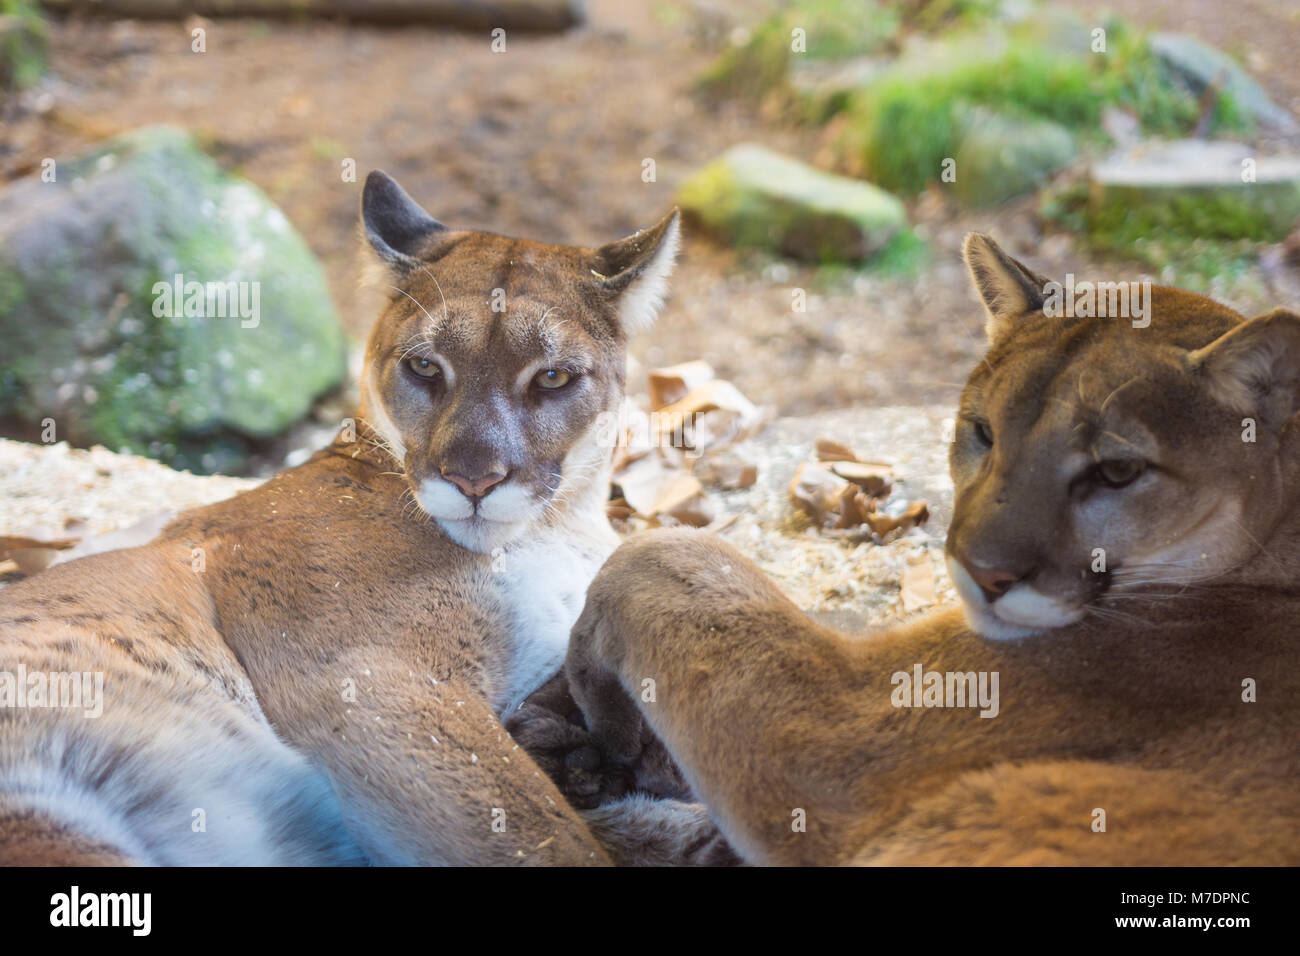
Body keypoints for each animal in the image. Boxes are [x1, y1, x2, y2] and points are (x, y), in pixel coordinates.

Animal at [0, 171, 691, 868]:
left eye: (552, 377)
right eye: (424, 366)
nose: (473, 477)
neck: (561, 525)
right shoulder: (372, 679)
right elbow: (545, 833)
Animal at [559, 234, 1300, 868]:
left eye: (1118, 471)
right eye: (983, 432)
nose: (982, 571)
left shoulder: (835, 730)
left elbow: (664, 555)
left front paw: (597, 696)